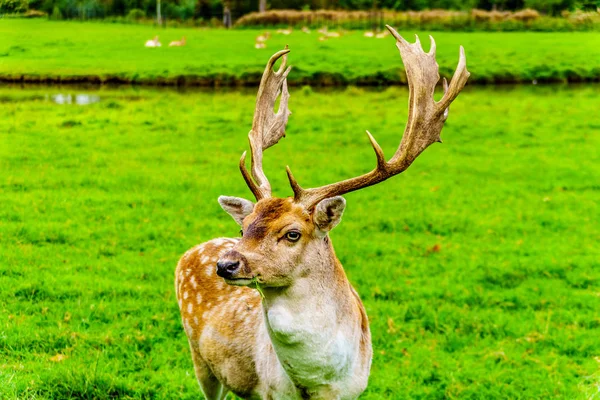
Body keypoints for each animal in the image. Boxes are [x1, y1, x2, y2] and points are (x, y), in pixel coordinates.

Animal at [175, 25, 468, 400]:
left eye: (292, 233)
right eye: (245, 228)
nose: (226, 264)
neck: (318, 384)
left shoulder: (357, 388)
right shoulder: (269, 392)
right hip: (201, 360)